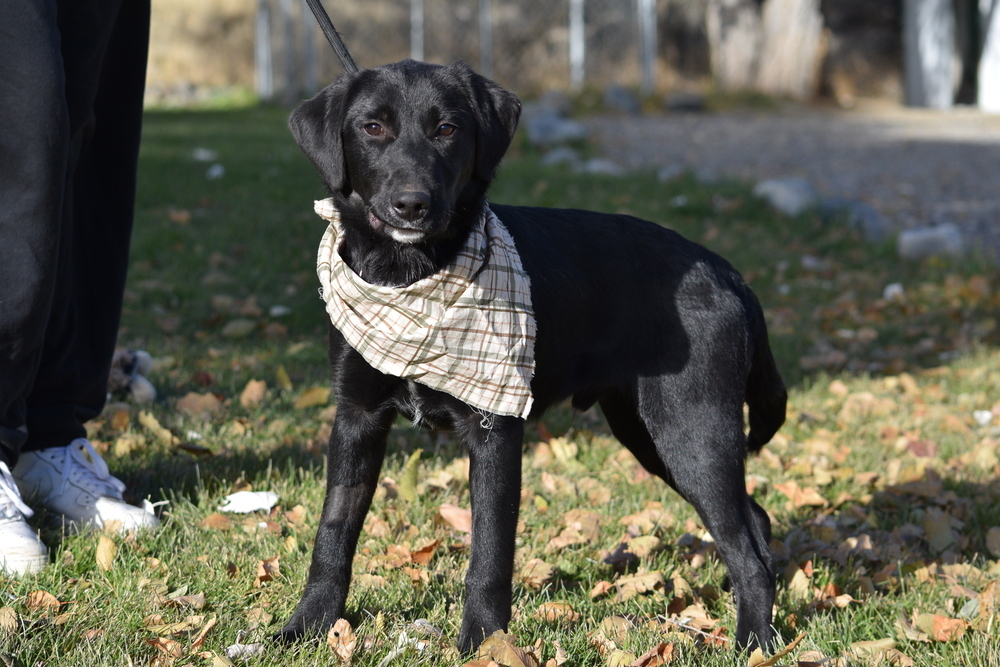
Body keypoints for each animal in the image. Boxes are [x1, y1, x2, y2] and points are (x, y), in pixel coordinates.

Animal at [278, 60, 784, 656]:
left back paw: (754, 644)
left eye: (447, 129)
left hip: (692, 433)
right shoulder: (356, 418)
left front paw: (484, 644)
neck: (412, 279)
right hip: (648, 434)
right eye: (372, 128)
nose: (412, 204)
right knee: (755, 522)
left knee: (749, 551)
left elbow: (490, 553)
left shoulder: (494, 430)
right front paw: (308, 626)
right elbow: (333, 534)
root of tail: (726, 271)